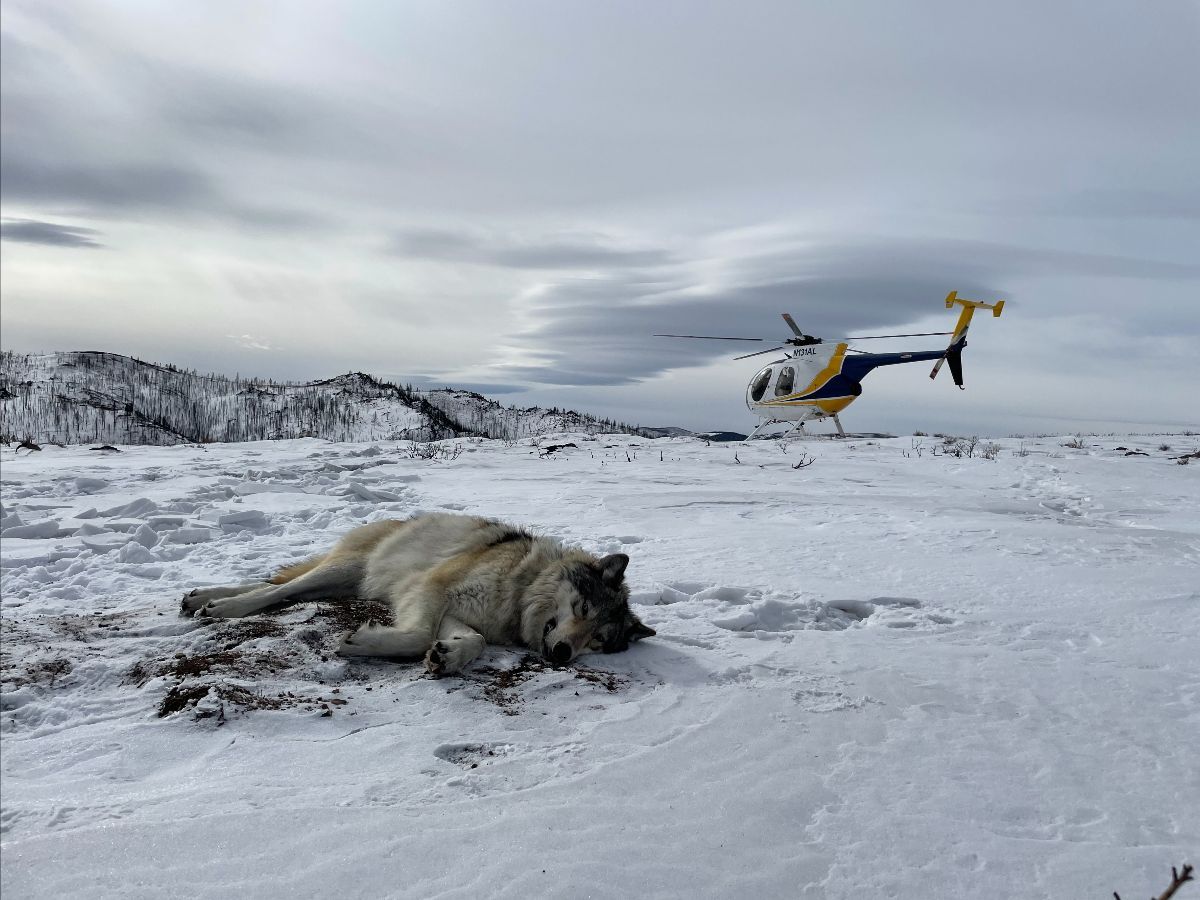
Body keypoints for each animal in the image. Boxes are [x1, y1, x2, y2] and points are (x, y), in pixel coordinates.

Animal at [180, 513, 654, 675]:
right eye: (583, 607)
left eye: (598, 640)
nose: (562, 655)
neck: (520, 586)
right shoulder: (430, 588)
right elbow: (419, 635)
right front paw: (363, 643)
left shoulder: (459, 613)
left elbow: (473, 641)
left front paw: (448, 656)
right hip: (348, 568)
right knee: (279, 588)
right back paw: (223, 605)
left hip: (342, 581)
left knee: (277, 586)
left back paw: (201, 597)